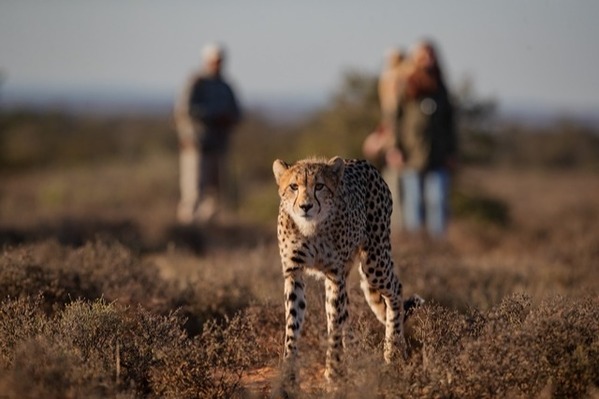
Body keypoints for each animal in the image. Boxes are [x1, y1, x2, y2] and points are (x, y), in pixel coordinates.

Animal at [274, 157, 418, 384]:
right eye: (293, 186)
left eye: (319, 186)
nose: (306, 206)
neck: (311, 228)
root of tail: (363, 162)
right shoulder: (294, 273)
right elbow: (293, 326)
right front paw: (288, 375)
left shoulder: (335, 275)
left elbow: (335, 325)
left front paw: (333, 373)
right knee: (346, 313)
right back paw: (354, 353)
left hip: (374, 262)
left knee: (395, 289)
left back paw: (392, 350)